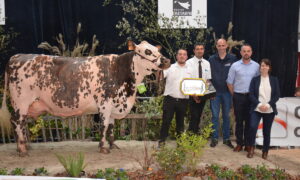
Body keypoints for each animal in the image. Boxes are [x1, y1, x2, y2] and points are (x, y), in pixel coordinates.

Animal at [0, 41, 169, 156]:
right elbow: (103, 126)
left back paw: (24, 146)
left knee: (21, 123)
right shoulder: (104, 104)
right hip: (21, 102)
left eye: (157, 49)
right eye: (147, 51)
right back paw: (22, 150)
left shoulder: (113, 106)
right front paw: (102, 148)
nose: (166, 61)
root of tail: (16, 57)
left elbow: (111, 127)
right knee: (16, 121)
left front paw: (113, 145)